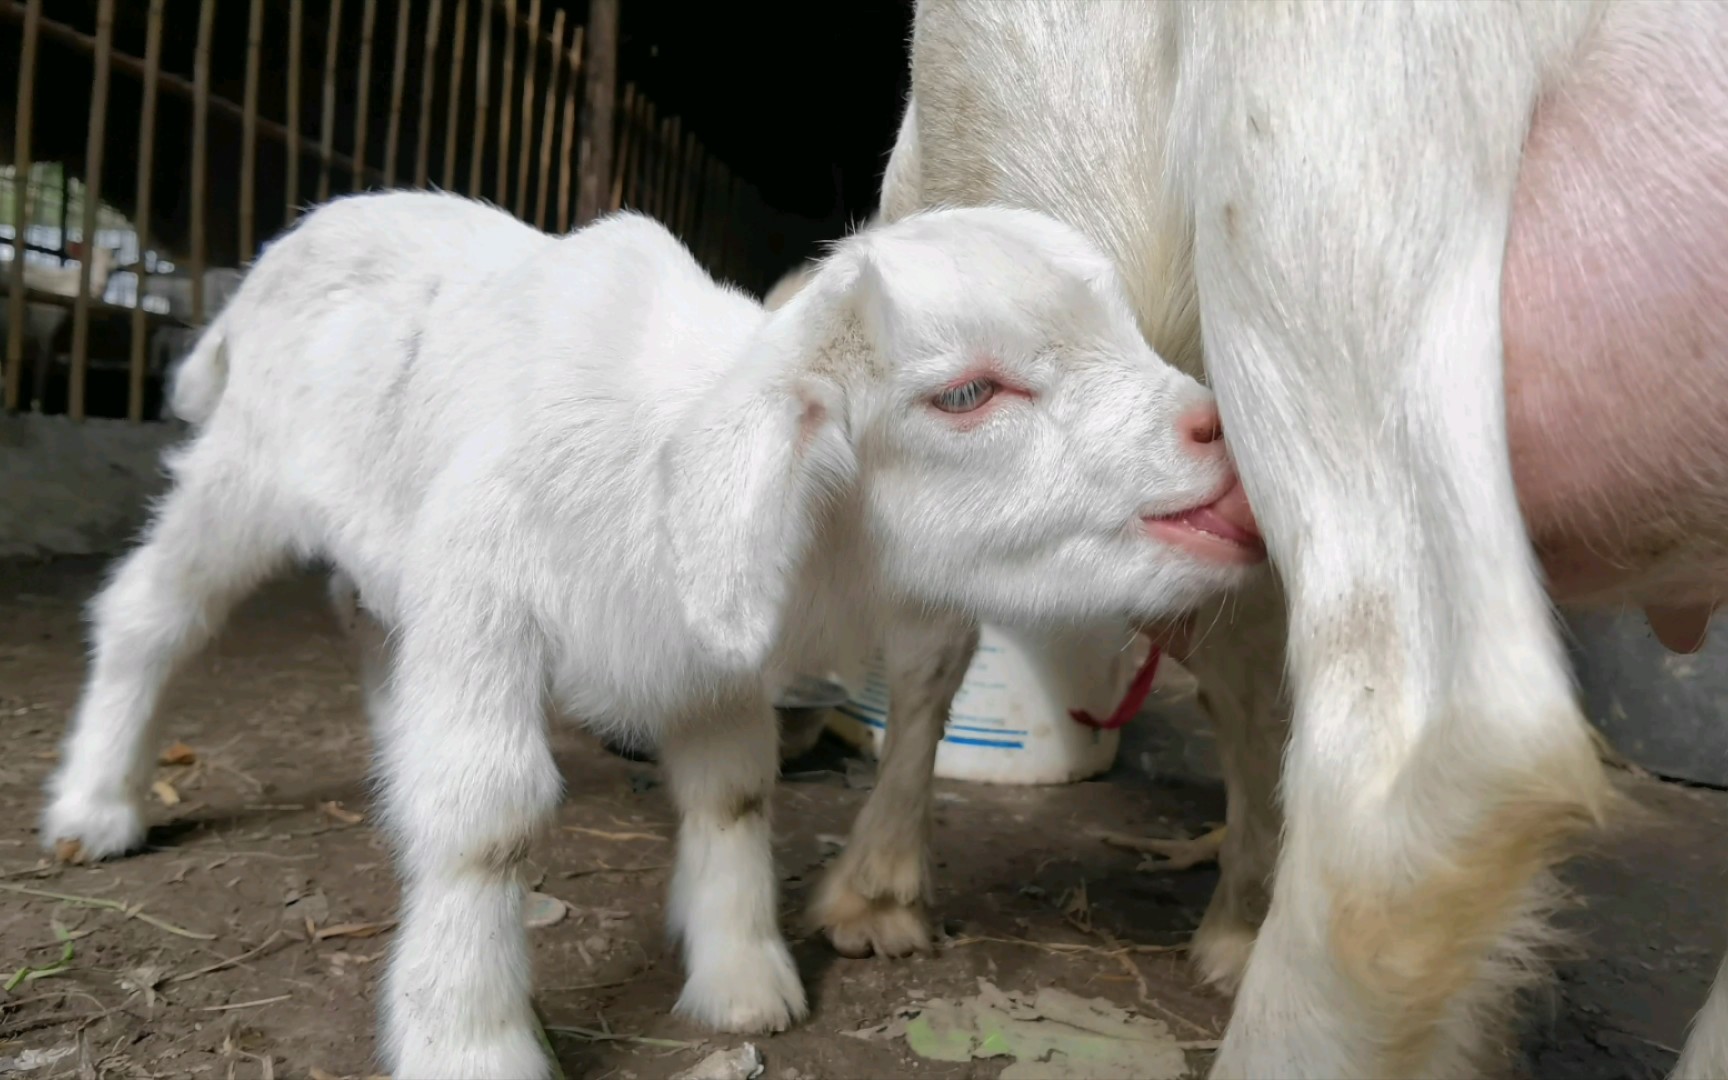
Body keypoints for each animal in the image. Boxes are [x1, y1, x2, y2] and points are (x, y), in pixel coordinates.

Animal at [33, 189, 1264, 1071]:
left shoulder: (698, 642)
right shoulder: (485, 588)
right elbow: (487, 818)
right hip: (243, 473)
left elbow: (734, 792)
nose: (1220, 439)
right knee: (149, 612)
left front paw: (742, 983)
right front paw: (469, 1035)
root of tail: (272, 262)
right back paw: (96, 806)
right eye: (966, 395)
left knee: (365, 617)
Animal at [822, 2, 1728, 1078]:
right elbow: (1246, 694)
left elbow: (927, 648)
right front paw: (1240, 917)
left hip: (1315, 167)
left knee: (1422, 771)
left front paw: (874, 895)